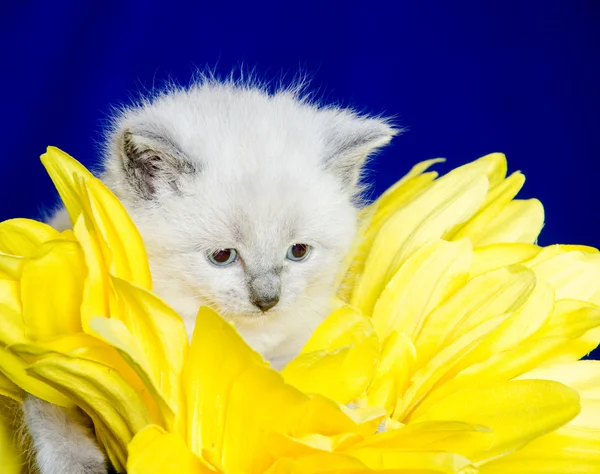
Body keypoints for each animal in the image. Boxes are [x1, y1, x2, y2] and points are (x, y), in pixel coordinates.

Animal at [24, 78, 398, 474]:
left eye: (298, 251)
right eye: (222, 256)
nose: (267, 299)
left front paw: (369, 426)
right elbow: (48, 397)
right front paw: (73, 462)